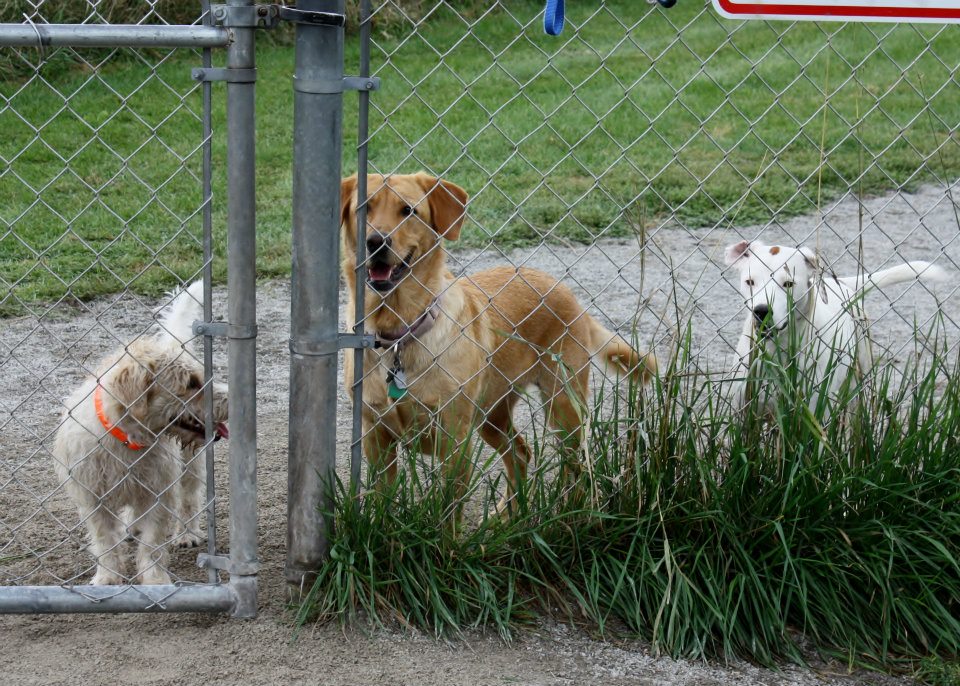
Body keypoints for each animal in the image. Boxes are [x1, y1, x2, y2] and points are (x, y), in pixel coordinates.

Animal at [54, 282, 229, 588]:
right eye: (191, 383)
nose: (230, 397)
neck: (126, 439)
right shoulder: (93, 499)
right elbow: (105, 542)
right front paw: (108, 578)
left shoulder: (158, 494)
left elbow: (153, 543)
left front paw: (155, 579)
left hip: (190, 464)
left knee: (189, 498)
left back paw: (187, 533)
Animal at [340, 175, 652, 512]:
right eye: (364, 208)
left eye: (408, 210)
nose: (376, 242)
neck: (399, 332)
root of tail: (565, 290)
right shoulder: (376, 438)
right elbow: (381, 503)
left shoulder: (455, 440)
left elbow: (448, 512)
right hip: (492, 414)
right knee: (521, 453)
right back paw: (505, 515)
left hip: (563, 406)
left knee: (576, 464)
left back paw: (570, 511)